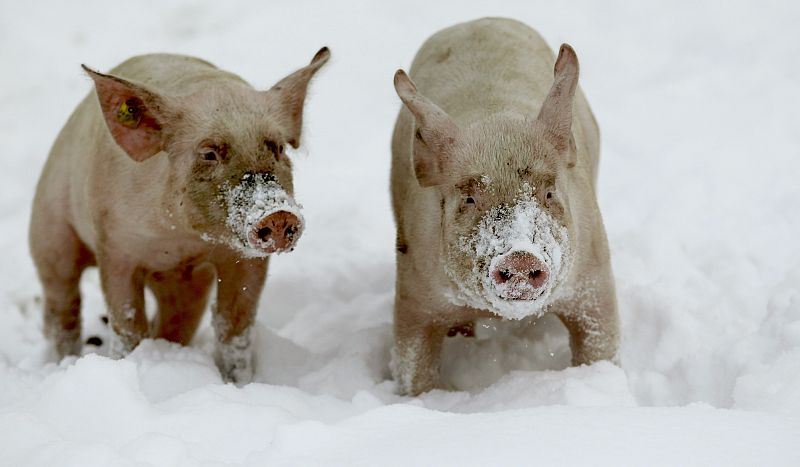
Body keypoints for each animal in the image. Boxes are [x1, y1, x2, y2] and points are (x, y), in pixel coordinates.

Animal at [28, 47, 328, 384]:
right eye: (209, 153)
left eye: (277, 148)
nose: (277, 214)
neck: (179, 239)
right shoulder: (115, 247)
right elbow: (127, 324)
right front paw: (125, 361)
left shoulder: (245, 260)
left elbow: (234, 328)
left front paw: (239, 383)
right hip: (48, 232)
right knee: (63, 308)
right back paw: (64, 360)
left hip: (188, 285)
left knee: (175, 321)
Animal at [390, 19, 620, 398]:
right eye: (469, 199)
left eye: (549, 192)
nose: (521, 255)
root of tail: (477, 20)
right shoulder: (413, 293)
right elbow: (413, 366)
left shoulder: (594, 275)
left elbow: (601, 344)